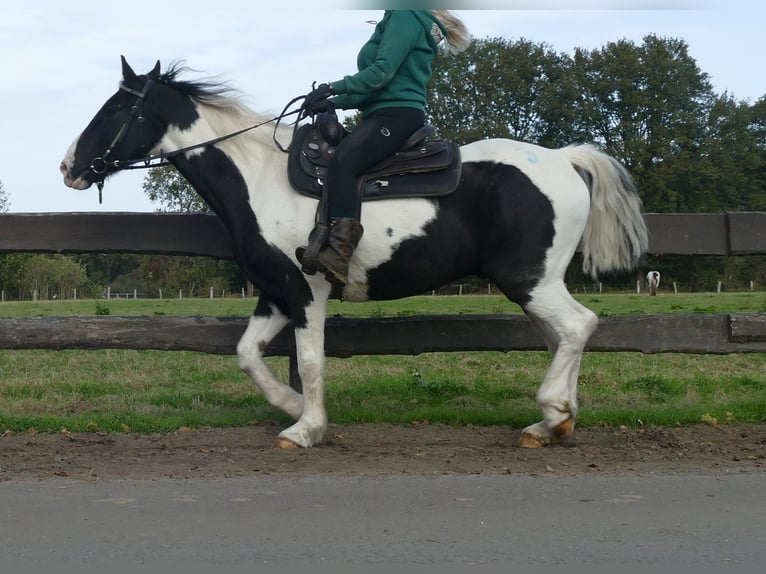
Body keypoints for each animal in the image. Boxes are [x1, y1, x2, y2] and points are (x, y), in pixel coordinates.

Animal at [60, 57, 649, 449]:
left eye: (118, 107)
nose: (68, 167)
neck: (259, 180)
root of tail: (564, 159)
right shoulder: (276, 293)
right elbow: (248, 353)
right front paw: (291, 405)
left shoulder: (306, 290)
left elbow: (311, 360)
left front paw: (306, 428)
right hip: (538, 282)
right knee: (562, 335)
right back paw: (555, 422)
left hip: (528, 279)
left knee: (576, 326)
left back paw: (552, 411)